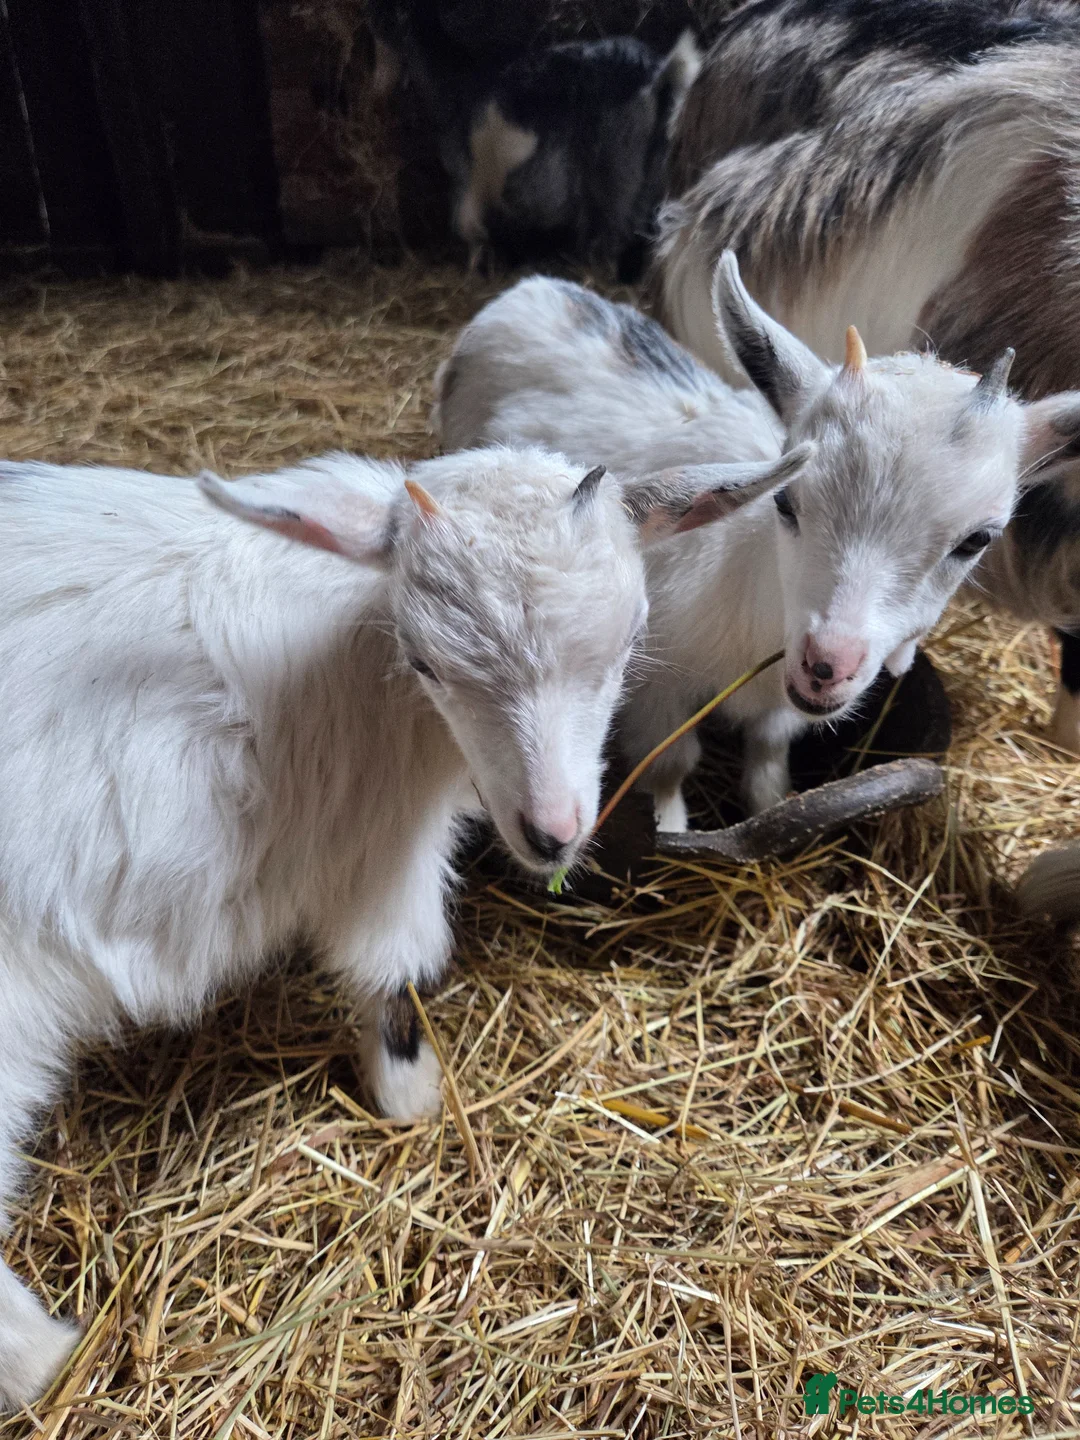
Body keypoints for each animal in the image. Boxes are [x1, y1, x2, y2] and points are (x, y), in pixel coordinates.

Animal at [0, 443, 788, 1407]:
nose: (553, 832)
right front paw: (410, 1096)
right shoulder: (386, 848)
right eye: (426, 662)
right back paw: (45, 1359)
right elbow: (396, 971)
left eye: (630, 643)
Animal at [435, 258, 1080, 825]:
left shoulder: (777, 706)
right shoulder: (653, 688)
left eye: (977, 540)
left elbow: (768, 759)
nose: (827, 665)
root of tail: (533, 289)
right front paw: (672, 830)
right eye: (786, 501)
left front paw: (770, 806)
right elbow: (669, 767)